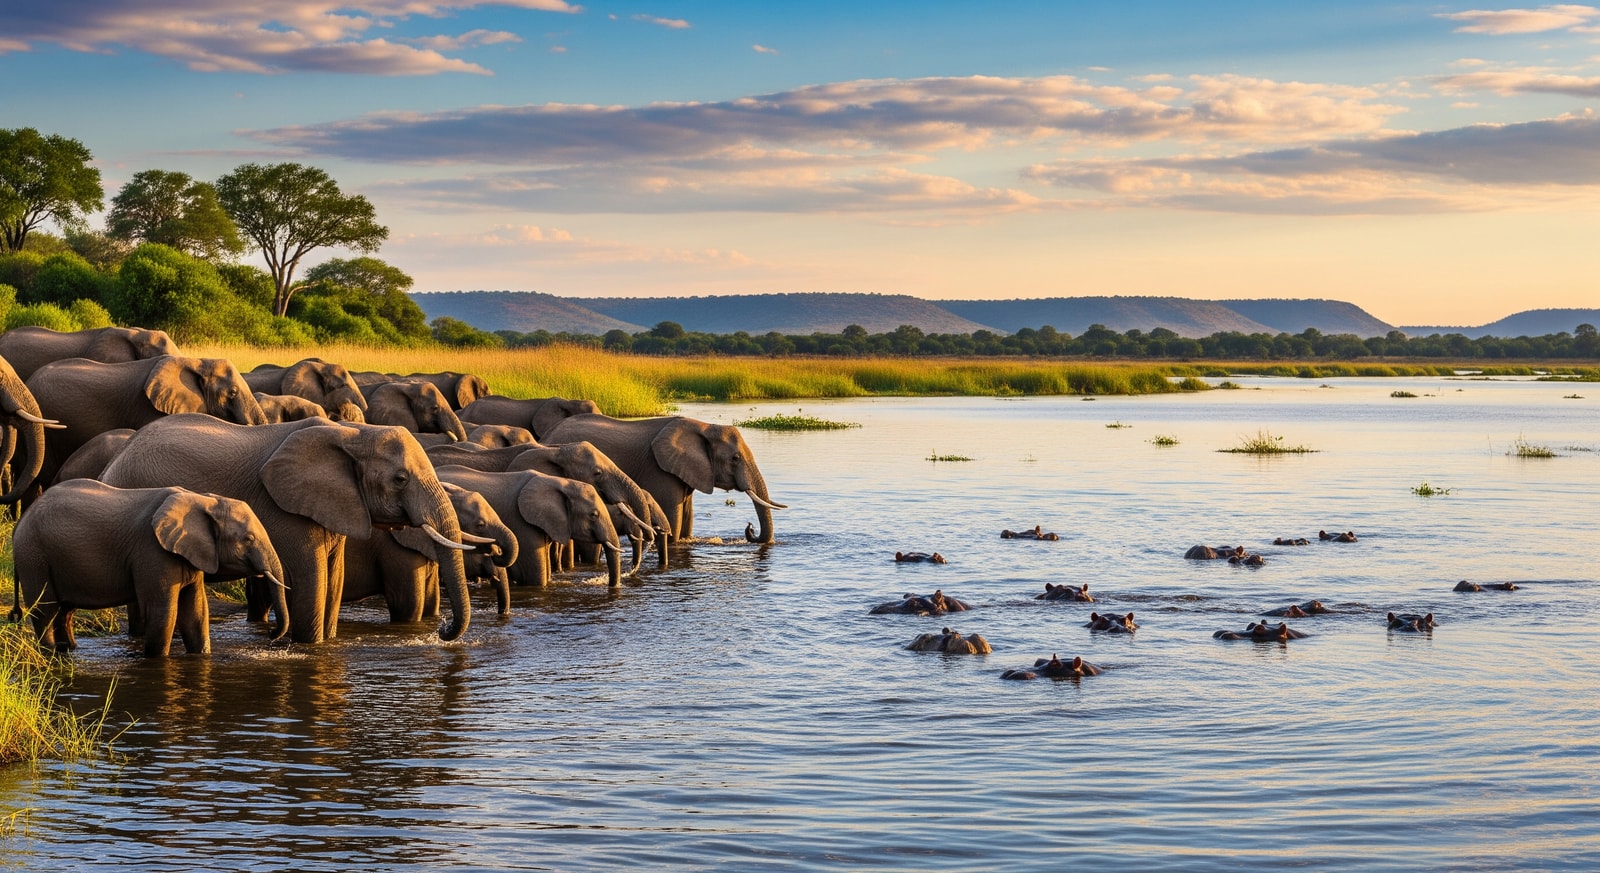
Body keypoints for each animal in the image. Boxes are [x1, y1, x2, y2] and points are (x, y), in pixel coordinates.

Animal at [11, 480, 287, 656]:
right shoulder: (152, 552)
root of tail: (19, 525)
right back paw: (49, 653)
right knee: (46, 610)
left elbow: (196, 612)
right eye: (248, 539)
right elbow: (163, 612)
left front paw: (200, 656)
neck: (202, 500)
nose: (272, 635)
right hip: (33, 556)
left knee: (65, 611)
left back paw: (69, 650)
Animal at [100, 415, 479, 644]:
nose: (443, 629)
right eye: (400, 479)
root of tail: (114, 460)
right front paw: (308, 646)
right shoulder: (287, 512)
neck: (353, 434)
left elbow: (334, 580)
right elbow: (314, 580)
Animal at [542, 414, 786, 546]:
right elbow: (675, 525)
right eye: (735, 458)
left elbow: (687, 523)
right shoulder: (660, 471)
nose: (749, 527)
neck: (704, 427)